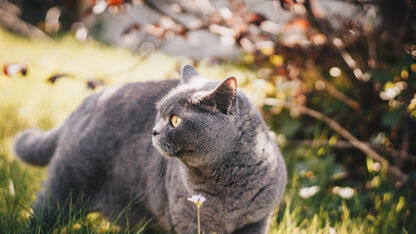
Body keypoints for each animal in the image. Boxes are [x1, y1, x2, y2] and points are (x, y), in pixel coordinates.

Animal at [13, 65, 286, 233]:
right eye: (160, 115)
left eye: (175, 120)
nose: (154, 131)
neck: (228, 182)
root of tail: (89, 100)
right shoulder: (191, 220)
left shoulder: (257, 221)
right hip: (66, 185)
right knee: (44, 211)